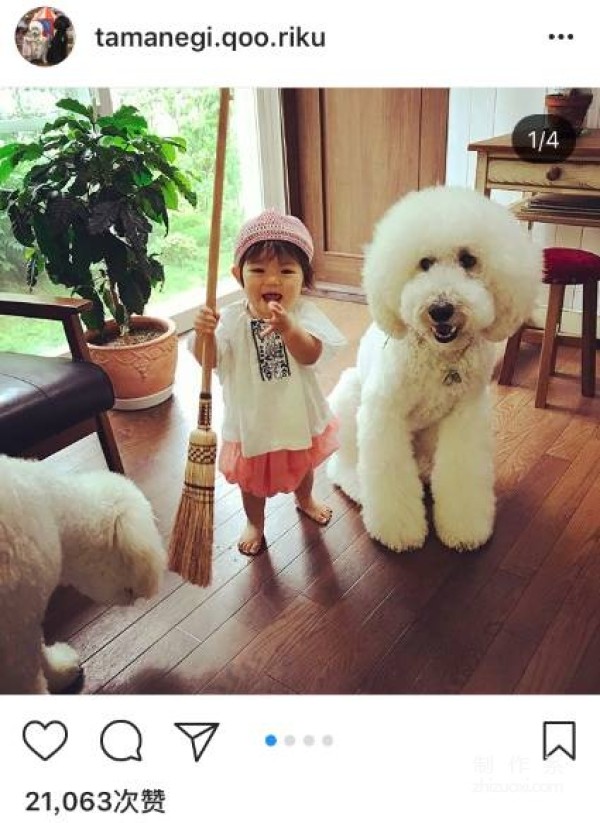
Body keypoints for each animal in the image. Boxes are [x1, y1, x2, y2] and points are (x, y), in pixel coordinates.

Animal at [330, 183, 540, 552]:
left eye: (468, 259)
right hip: (350, 398)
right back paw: (357, 484)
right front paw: (398, 530)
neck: (442, 358)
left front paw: (464, 528)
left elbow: (461, 475)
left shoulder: (466, 416)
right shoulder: (385, 414)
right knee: (343, 465)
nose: (441, 309)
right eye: (424, 263)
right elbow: (389, 478)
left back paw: (426, 471)